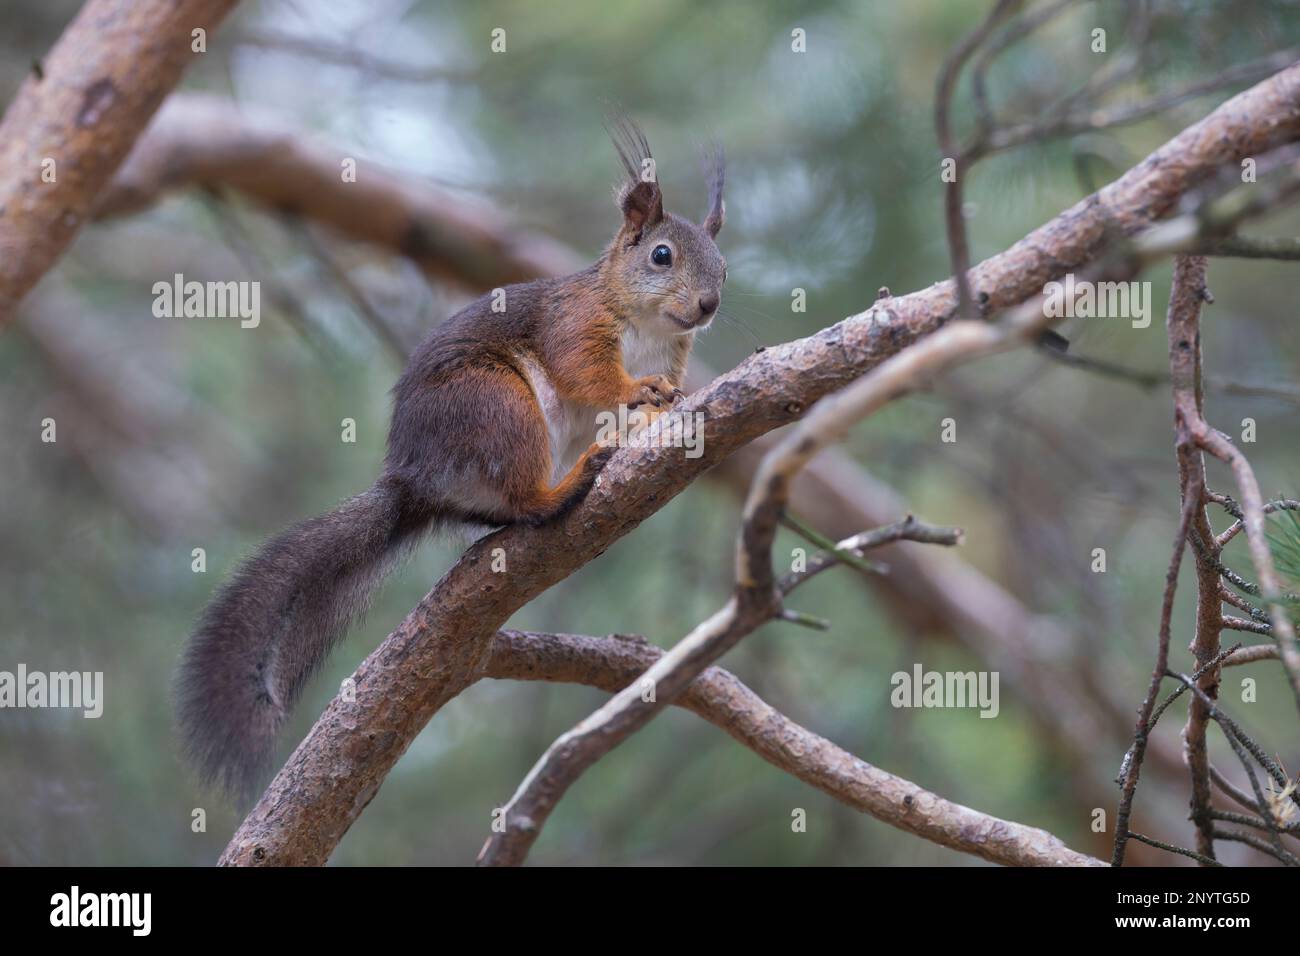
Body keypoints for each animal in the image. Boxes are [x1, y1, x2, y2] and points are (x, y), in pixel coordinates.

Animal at [172, 121, 728, 806]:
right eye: (661, 256)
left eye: (724, 266)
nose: (708, 305)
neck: (649, 327)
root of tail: (415, 483)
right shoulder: (577, 324)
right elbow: (588, 373)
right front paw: (636, 391)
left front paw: (662, 411)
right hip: (498, 405)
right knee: (525, 501)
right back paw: (567, 486)